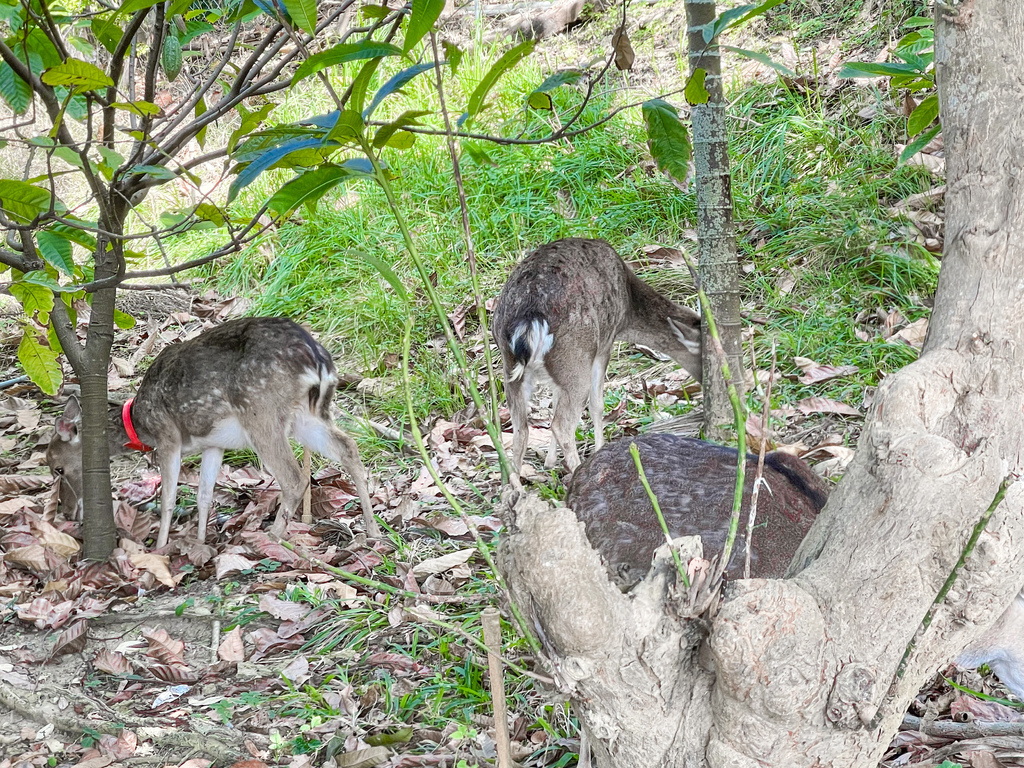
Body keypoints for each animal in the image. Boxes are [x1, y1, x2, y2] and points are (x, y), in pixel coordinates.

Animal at [47, 317, 376, 548]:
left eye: (57, 467)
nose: (66, 512)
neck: (141, 422)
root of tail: (319, 362)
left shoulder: (168, 436)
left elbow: (169, 497)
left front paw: (160, 548)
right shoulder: (213, 444)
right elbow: (204, 494)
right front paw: (201, 542)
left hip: (261, 411)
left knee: (294, 477)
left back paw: (272, 536)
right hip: (307, 415)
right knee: (349, 446)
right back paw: (372, 531)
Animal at [489, 237, 700, 483]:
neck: (628, 307)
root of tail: (529, 318)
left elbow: (554, 402)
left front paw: (550, 461)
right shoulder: (604, 344)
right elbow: (597, 404)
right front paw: (599, 449)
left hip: (512, 366)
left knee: (520, 427)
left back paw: (513, 485)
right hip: (575, 357)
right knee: (562, 424)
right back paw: (577, 472)